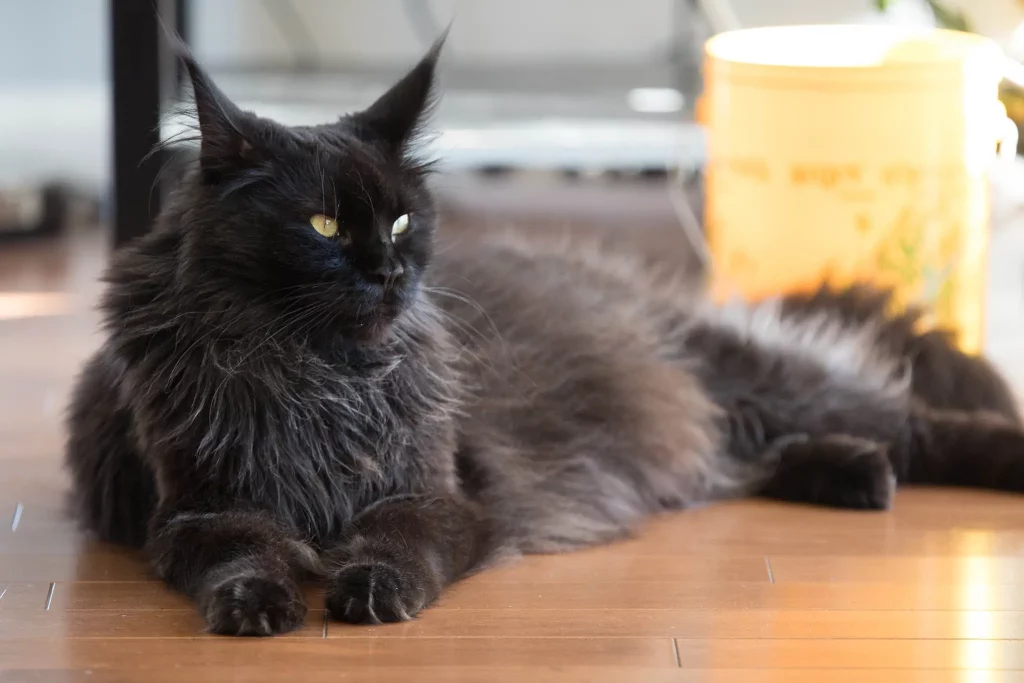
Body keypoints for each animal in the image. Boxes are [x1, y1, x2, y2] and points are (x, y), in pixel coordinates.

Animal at [66, 40, 1024, 634]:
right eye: (325, 225)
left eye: (404, 219)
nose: (389, 272)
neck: (320, 378)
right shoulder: (198, 506)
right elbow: (239, 554)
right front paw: (258, 604)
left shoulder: (442, 492)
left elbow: (397, 542)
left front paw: (371, 588)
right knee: (757, 455)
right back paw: (857, 474)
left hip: (756, 377)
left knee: (908, 418)